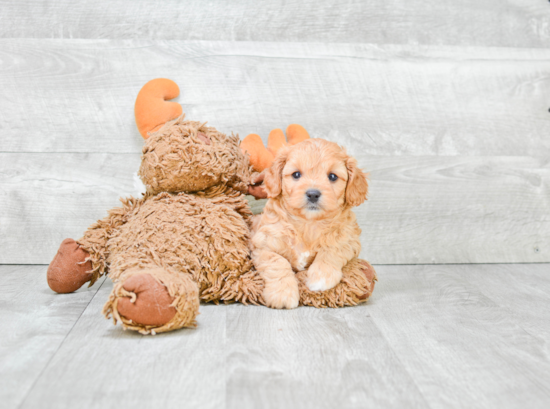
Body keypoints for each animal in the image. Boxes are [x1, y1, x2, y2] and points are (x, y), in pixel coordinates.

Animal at [252, 139, 368, 308]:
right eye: (296, 174)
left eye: (332, 176)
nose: (313, 194)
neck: (308, 223)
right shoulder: (262, 245)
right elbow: (277, 262)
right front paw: (283, 293)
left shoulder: (349, 238)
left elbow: (332, 249)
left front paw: (321, 277)